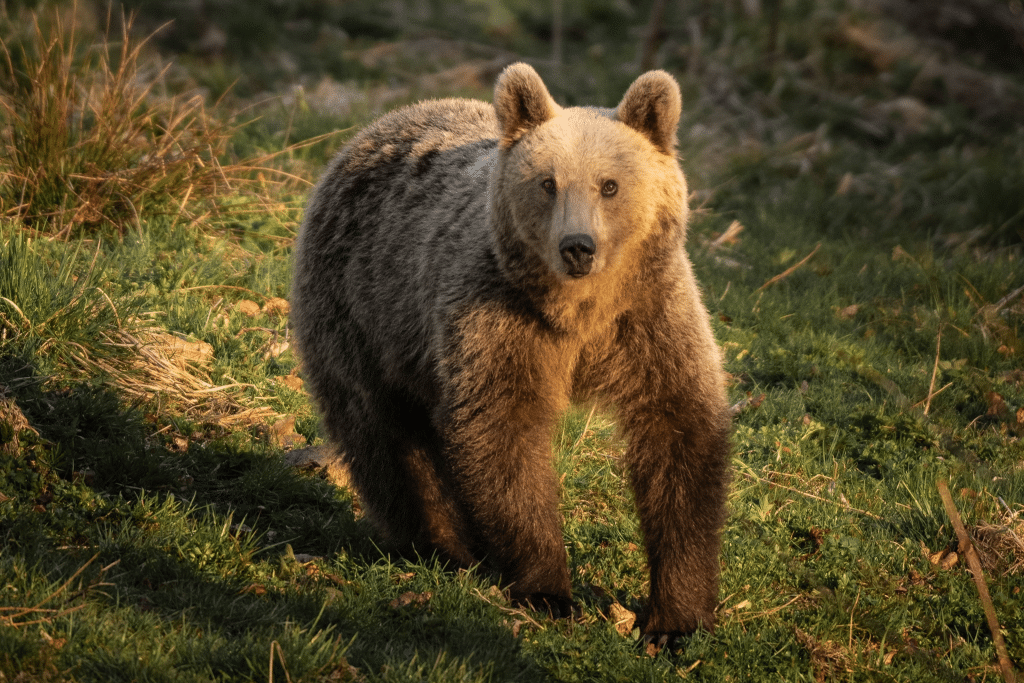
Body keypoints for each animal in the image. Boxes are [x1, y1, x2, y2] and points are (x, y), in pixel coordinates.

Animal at [290, 62, 731, 638]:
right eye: (548, 183)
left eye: (610, 185)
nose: (577, 247)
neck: (577, 313)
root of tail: (375, 127)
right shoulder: (499, 318)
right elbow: (504, 435)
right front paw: (548, 591)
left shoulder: (647, 320)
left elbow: (678, 435)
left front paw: (675, 618)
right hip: (363, 313)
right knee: (384, 436)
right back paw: (444, 546)